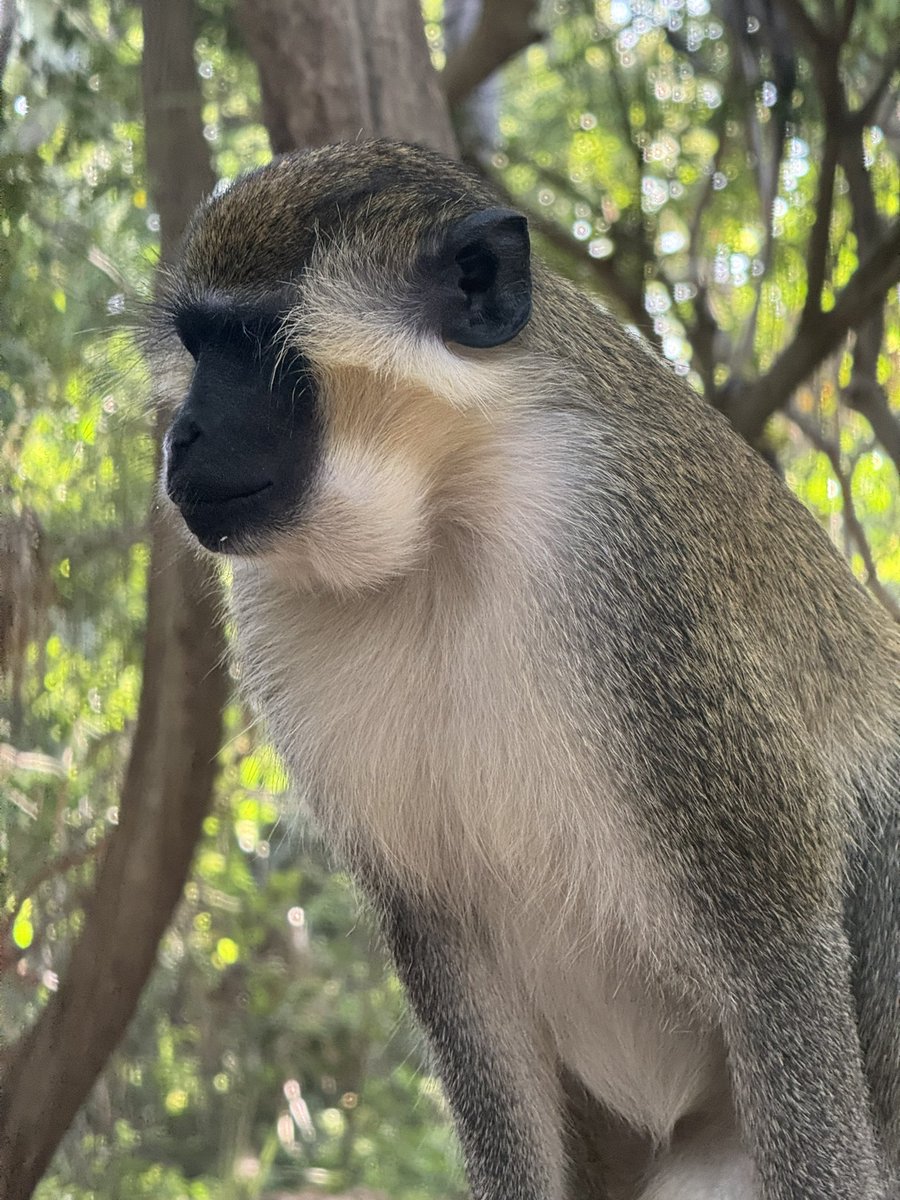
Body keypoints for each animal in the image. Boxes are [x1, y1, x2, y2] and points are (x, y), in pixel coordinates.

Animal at [155, 139, 900, 1200]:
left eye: (251, 346)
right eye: (196, 345)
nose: (180, 437)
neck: (447, 508)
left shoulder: (629, 555)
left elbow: (775, 935)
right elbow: (460, 979)